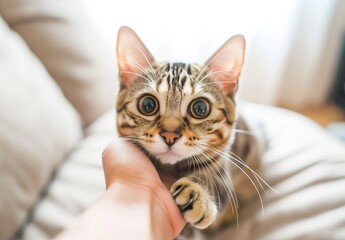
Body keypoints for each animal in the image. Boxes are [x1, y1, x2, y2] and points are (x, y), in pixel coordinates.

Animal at [115, 25, 264, 238]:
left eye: (200, 108)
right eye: (148, 104)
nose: (170, 135)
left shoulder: (222, 169)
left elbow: (216, 184)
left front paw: (197, 192)